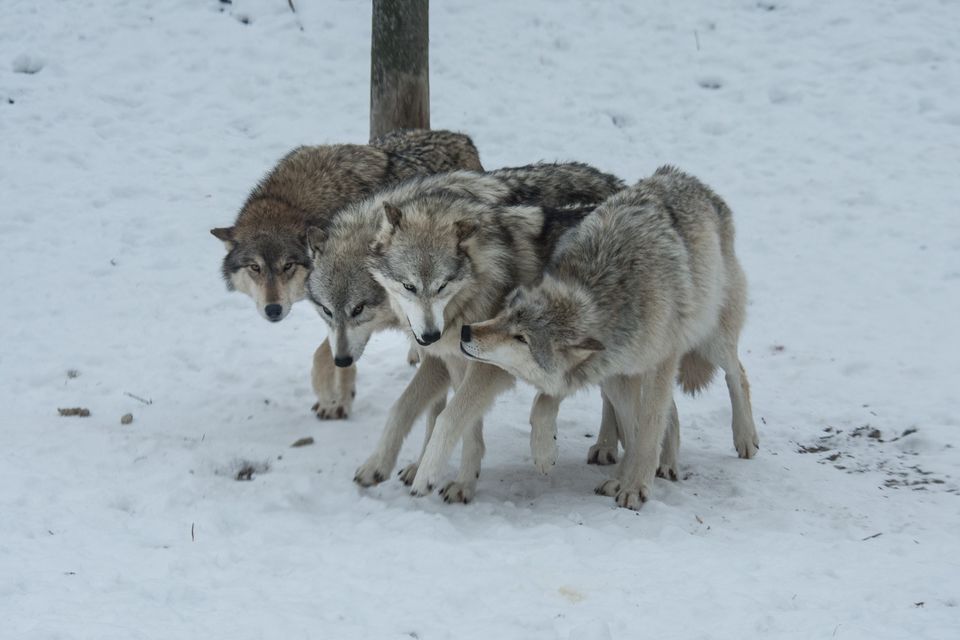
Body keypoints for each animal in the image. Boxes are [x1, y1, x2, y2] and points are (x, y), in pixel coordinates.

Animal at [207, 130, 484, 420]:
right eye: (255, 267)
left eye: (287, 266)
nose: (273, 310)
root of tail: (462, 137)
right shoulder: (330, 304)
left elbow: (327, 354)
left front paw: (334, 400)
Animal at [462, 165, 760, 510]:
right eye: (506, 313)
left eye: (521, 338)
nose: (466, 331)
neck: (606, 296)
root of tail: (683, 176)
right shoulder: (615, 371)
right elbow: (609, 420)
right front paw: (599, 471)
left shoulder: (660, 364)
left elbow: (647, 428)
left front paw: (634, 486)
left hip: (711, 339)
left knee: (737, 373)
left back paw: (745, 437)